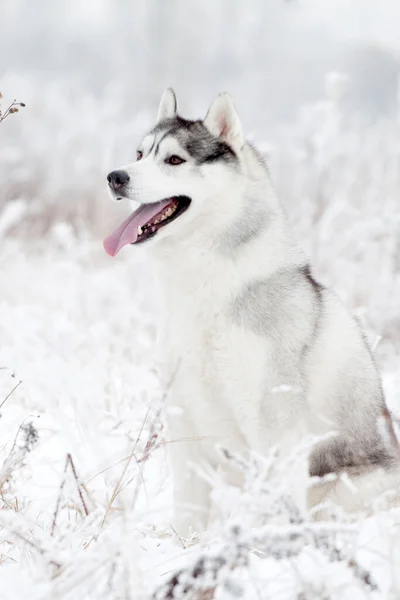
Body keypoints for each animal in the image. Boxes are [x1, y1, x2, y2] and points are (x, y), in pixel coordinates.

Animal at [104, 88, 400, 536]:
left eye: (174, 160)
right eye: (139, 154)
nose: (115, 177)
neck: (204, 287)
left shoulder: (273, 422)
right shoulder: (183, 415)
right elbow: (188, 510)